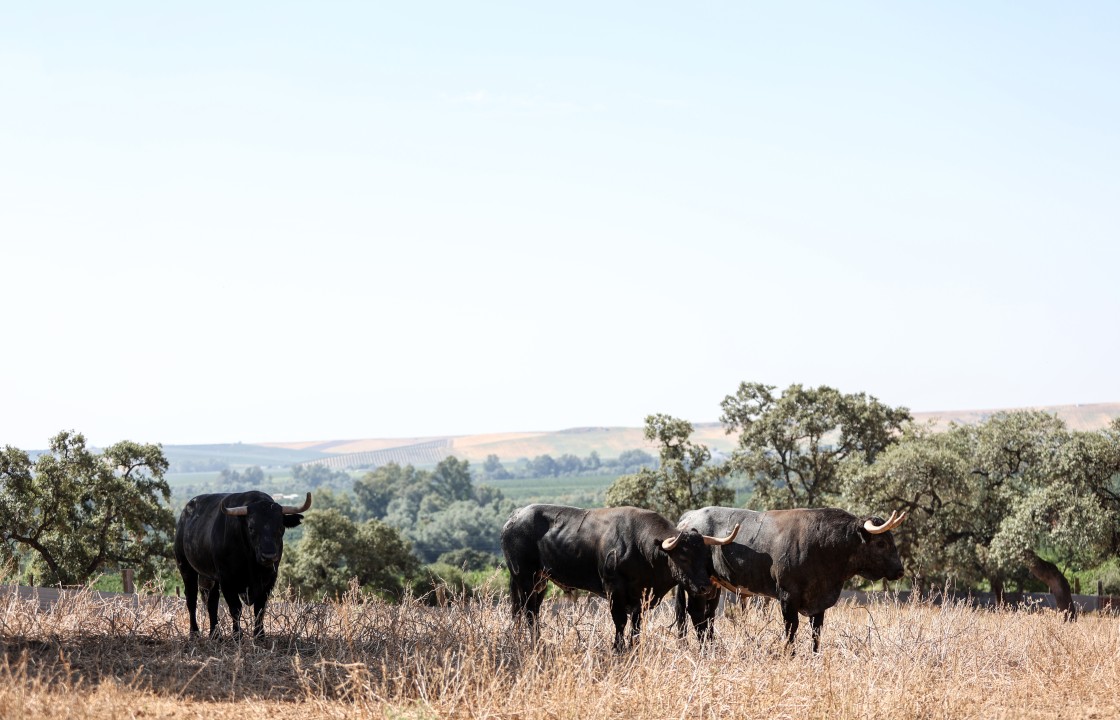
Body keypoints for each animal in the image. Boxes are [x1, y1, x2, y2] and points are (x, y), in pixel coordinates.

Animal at [172, 492, 311, 640]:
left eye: (281, 527)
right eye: (251, 527)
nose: (268, 556)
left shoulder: (270, 580)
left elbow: (260, 608)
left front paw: (259, 635)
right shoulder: (226, 579)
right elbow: (235, 608)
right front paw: (237, 635)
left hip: (211, 577)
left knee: (212, 603)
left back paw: (215, 635)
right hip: (186, 568)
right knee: (191, 599)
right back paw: (194, 633)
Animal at [504, 506, 739, 653]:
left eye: (705, 556)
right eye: (683, 556)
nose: (706, 586)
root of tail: (514, 518)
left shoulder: (641, 598)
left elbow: (636, 625)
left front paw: (634, 647)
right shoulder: (614, 591)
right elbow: (620, 622)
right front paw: (618, 648)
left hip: (540, 583)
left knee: (532, 611)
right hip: (524, 579)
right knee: (527, 611)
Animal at [667, 506, 904, 653]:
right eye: (881, 543)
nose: (900, 571)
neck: (824, 545)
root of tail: (689, 517)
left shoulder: (819, 600)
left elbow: (816, 631)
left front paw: (815, 655)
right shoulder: (788, 596)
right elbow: (792, 628)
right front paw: (790, 654)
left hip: (713, 586)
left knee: (708, 617)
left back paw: (712, 646)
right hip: (697, 586)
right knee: (696, 614)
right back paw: (704, 648)